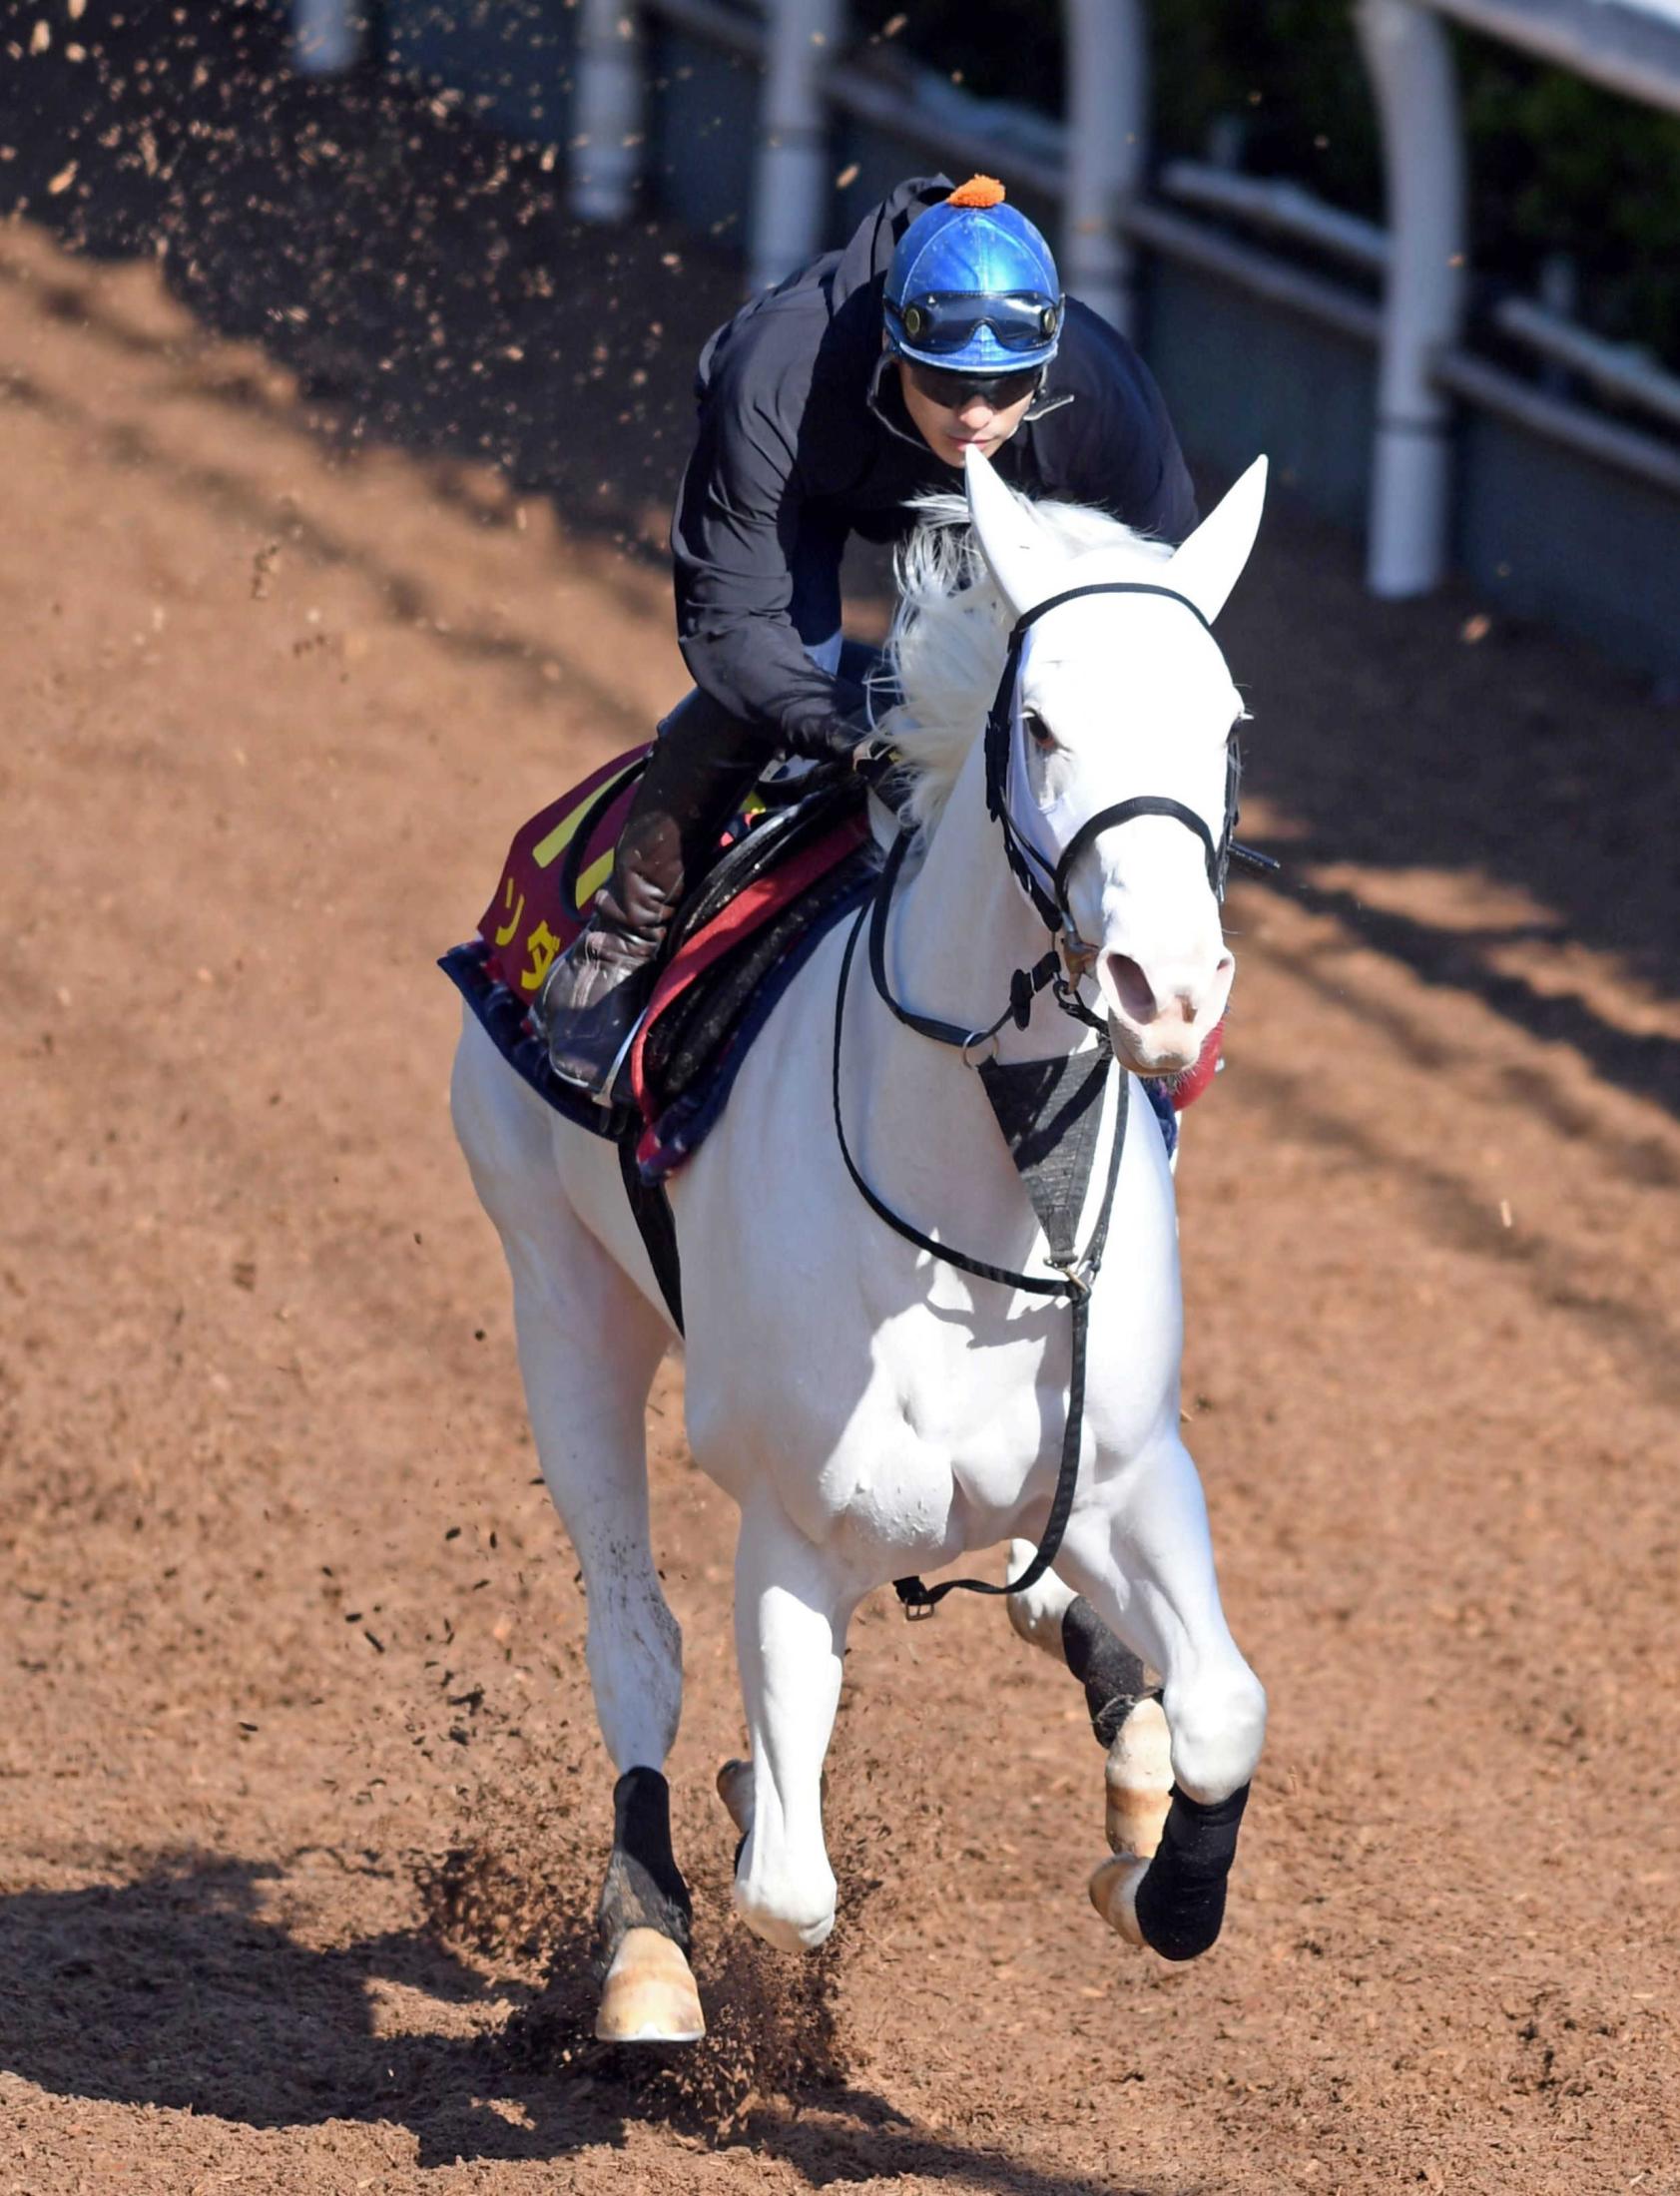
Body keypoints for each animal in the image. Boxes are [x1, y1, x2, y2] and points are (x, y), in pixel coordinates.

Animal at [452, 445, 1265, 2037]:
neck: (977, 1221)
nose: (1169, 989)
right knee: (635, 1646)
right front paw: (735, 1821)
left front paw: (1160, 1881)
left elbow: (1218, 1710)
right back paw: (646, 1953)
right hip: (557, 1295)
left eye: (1226, 726)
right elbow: (787, 1882)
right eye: (1039, 722)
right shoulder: (791, 1527)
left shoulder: (1131, 1472)